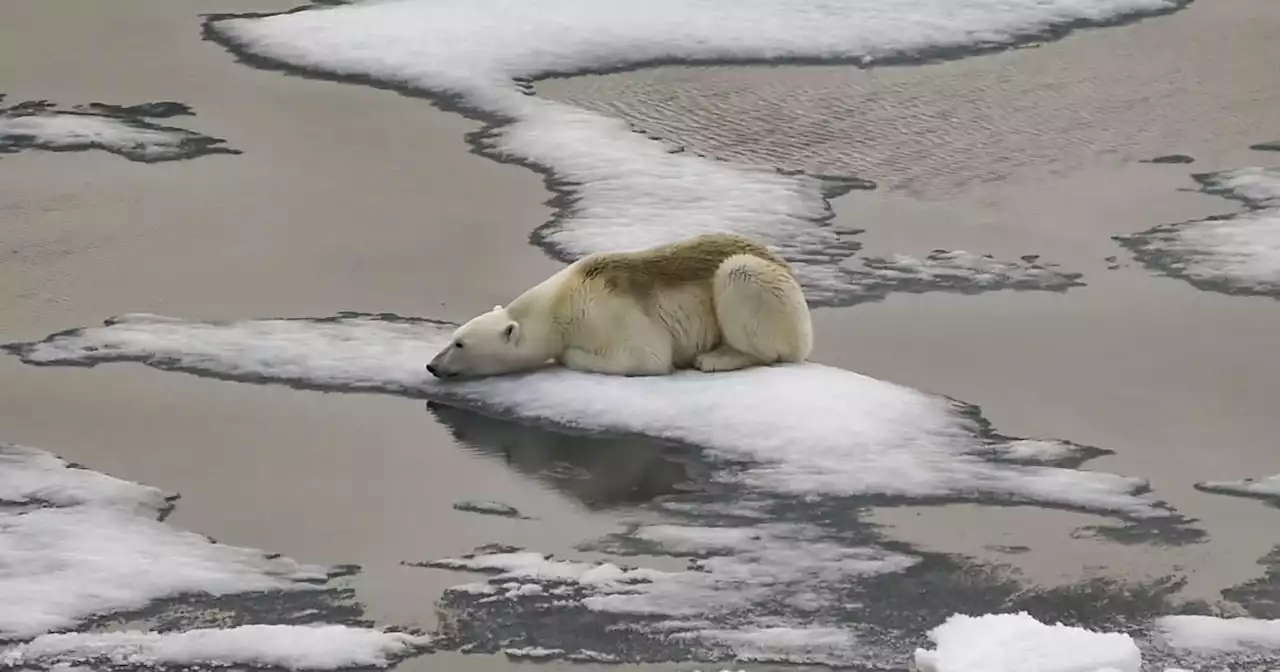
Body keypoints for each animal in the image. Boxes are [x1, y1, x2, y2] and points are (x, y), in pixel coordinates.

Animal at [427, 230, 808, 376]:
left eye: (459, 343)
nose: (432, 365)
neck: (561, 301)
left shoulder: (607, 312)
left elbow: (646, 357)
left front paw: (569, 355)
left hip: (768, 289)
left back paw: (716, 358)